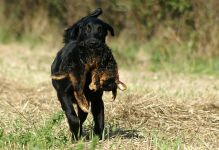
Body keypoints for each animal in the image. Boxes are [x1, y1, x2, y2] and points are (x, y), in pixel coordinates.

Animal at [51, 8, 125, 141]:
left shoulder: (96, 99)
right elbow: (72, 116)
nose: (93, 43)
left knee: (83, 116)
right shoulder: (63, 94)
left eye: (101, 29)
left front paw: (98, 136)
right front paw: (75, 133)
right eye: (87, 28)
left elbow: (100, 118)